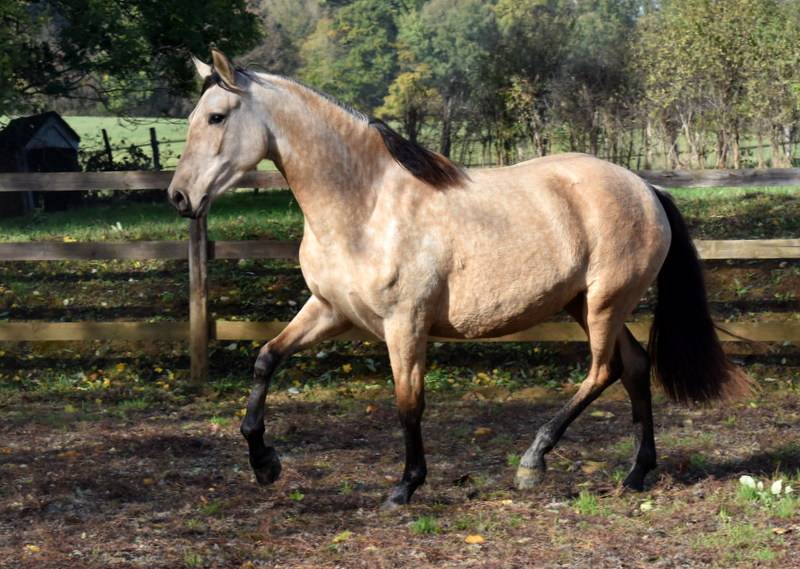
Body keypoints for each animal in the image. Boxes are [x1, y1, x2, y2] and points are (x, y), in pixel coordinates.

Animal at [168, 49, 750, 508]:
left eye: (216, 117)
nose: (178, 197)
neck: (366, 207)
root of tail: (646, 187)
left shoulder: (405, 324)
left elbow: (409, 401)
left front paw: (405, 485)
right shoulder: (330, 310)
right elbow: (266, 358)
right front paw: (264, 462)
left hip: (605, 302)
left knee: (603, 371)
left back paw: (533, 462)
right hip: (582, 304)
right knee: (634, 367)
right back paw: (636, 474)